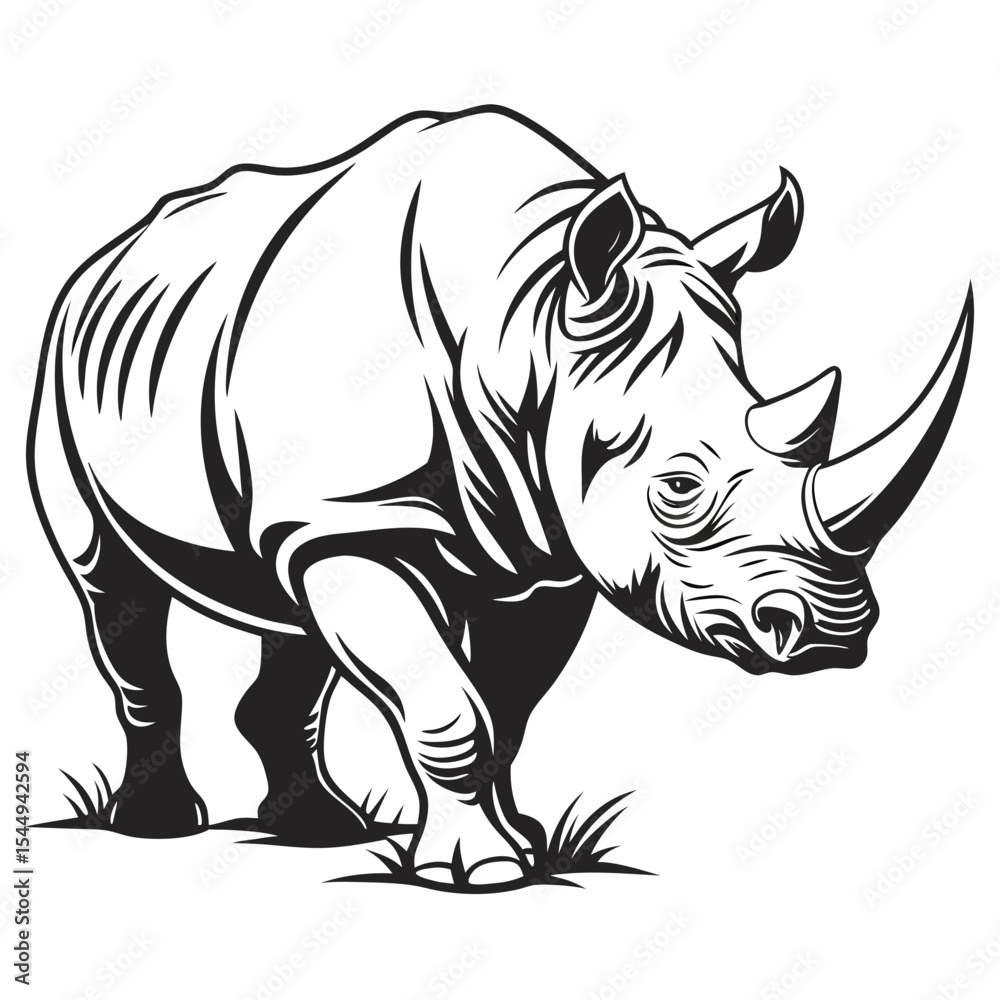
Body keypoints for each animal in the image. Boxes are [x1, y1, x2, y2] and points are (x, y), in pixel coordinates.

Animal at [27, 106, 972, 887]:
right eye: (678, 488)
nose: (832, 635)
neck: (525, 318)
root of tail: (100, 261)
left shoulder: (550, 549)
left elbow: (506, 708)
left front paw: (520, 842)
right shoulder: (355, 517)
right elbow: (453, 709)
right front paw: (477, 872)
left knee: (283, 604)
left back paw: (322, 830)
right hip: (60, 373)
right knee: (113, 587)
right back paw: (158, 826)